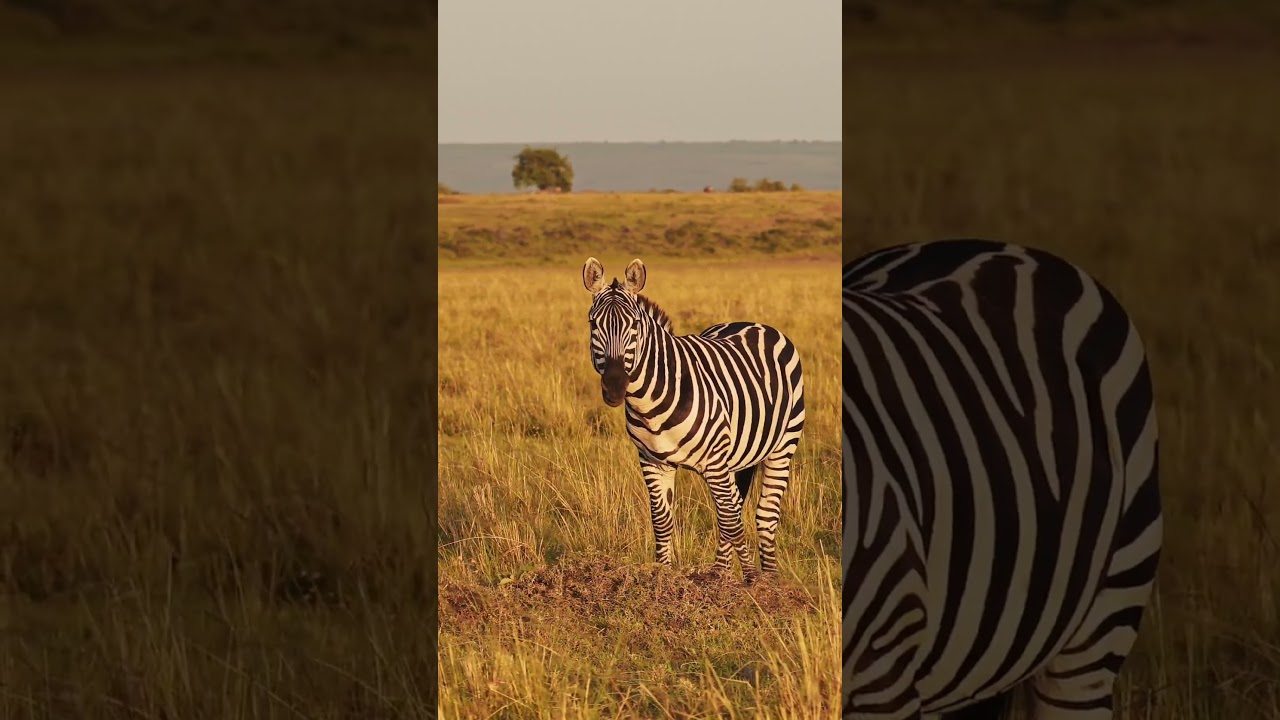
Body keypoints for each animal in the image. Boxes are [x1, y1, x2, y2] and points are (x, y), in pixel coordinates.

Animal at [581, 257, 805, 580]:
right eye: (593, 324)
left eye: (635, 325)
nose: (614, 386)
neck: (650, 402)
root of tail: (753, 323)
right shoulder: (652, 461)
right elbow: (662, 520)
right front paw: (662, 577)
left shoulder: (714, 461)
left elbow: (731, 522)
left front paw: (751, 579)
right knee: (735, 507)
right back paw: (720, 574)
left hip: (782, 445)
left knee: (763, 514)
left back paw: (769, 579)